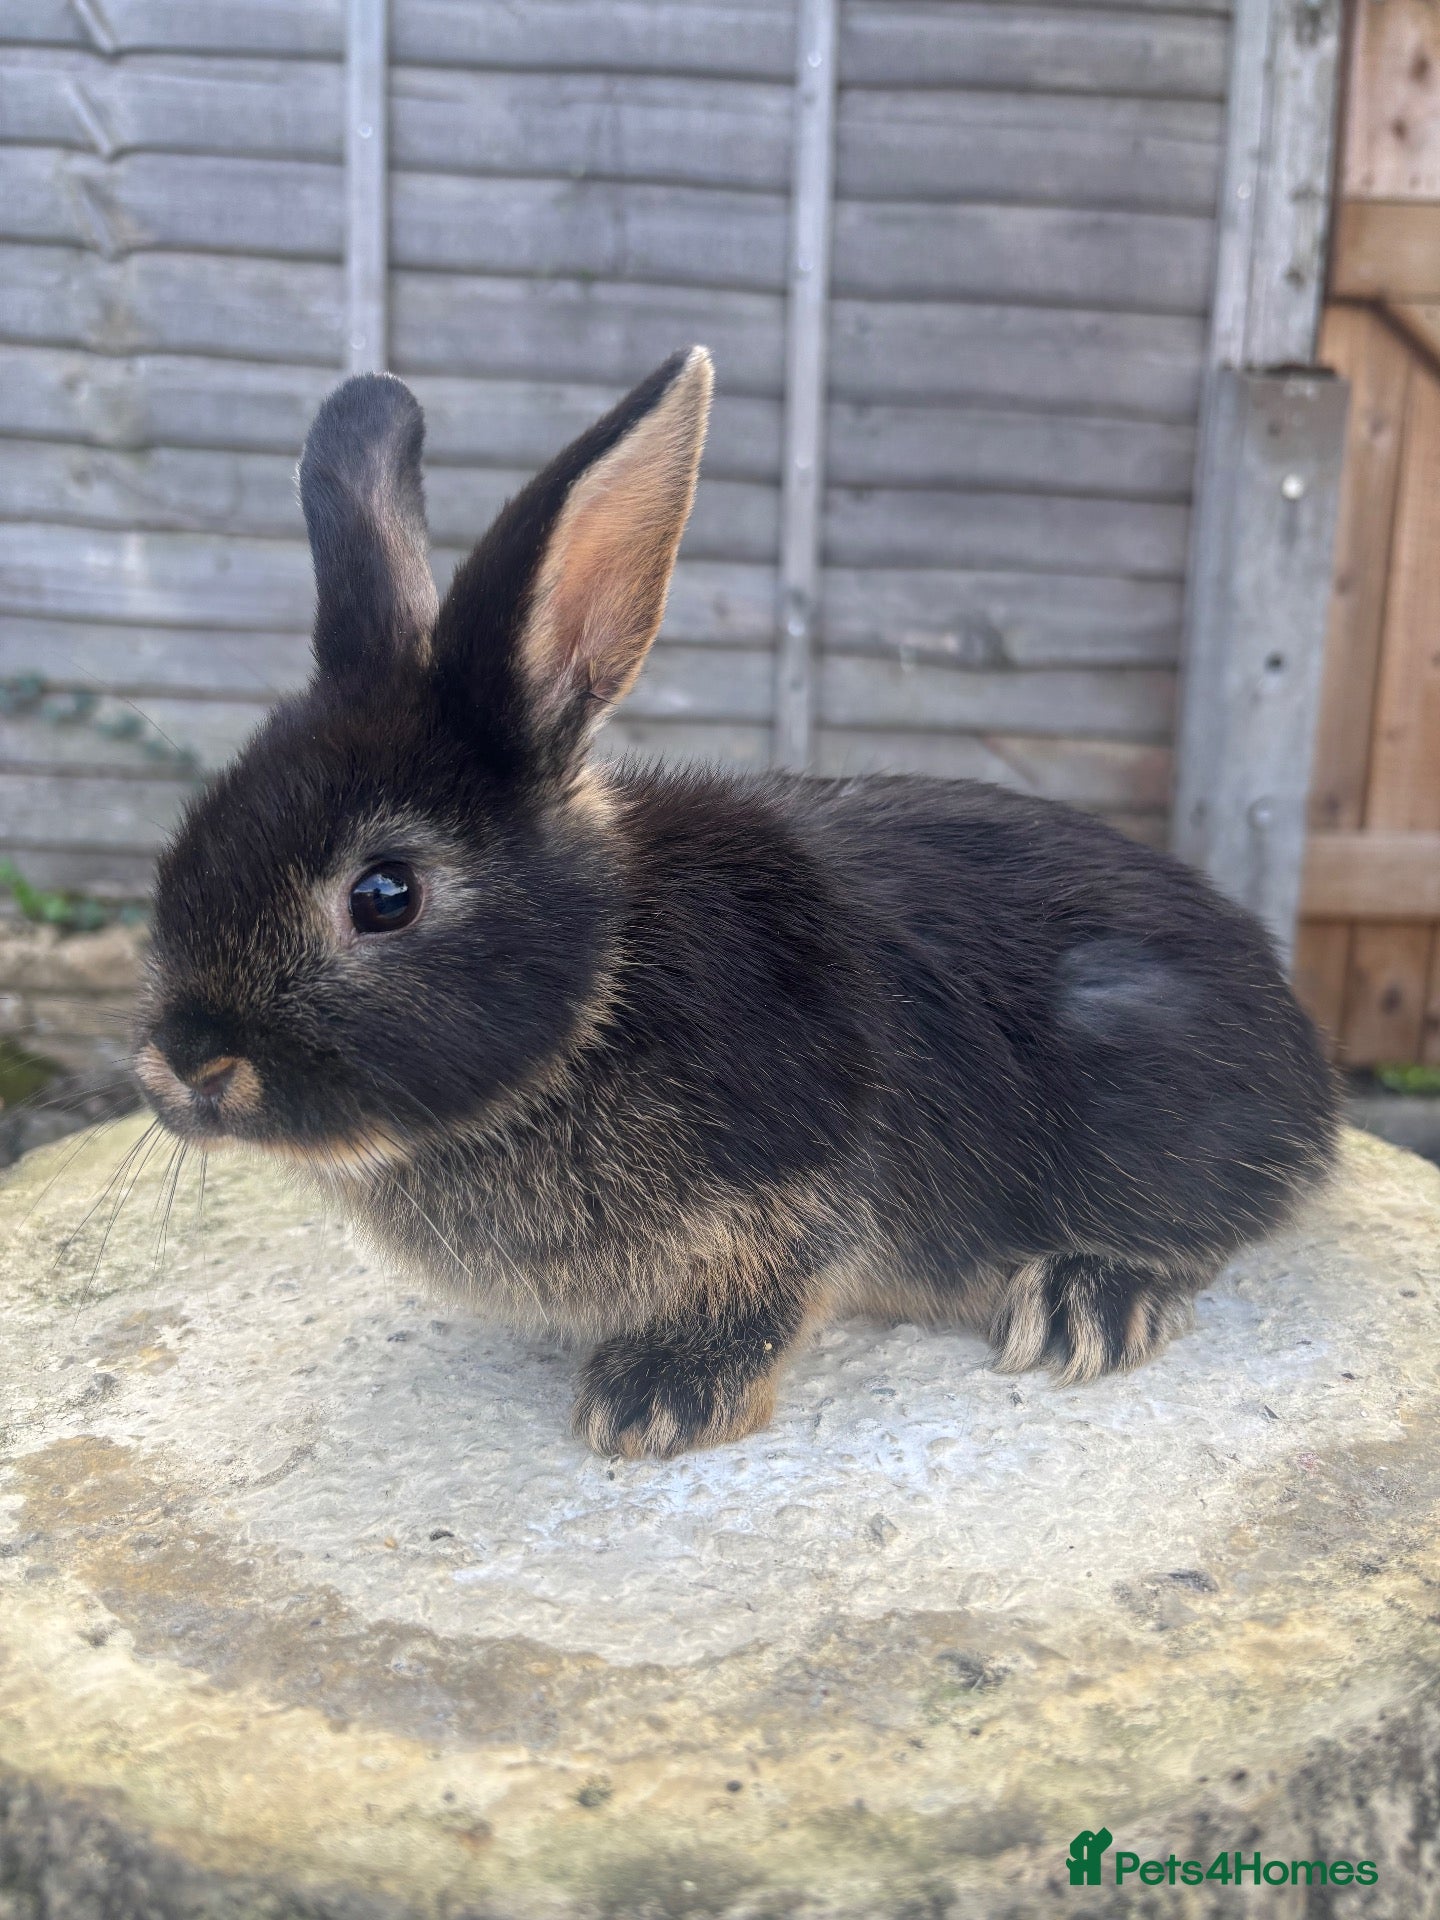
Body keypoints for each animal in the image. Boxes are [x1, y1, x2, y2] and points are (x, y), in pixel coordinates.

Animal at [134, 346, 1339, 1459]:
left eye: (385, 895)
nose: (183, 1069)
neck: (607, 988)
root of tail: (1304, 1058)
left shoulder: (797, 1189)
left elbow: (767, 1286)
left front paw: (653, 1403)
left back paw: (1090, 1299)